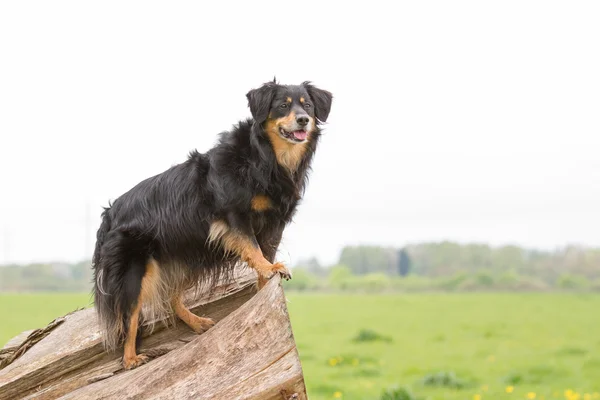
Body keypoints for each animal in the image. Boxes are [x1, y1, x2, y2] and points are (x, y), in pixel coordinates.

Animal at [91, 78, 332, 368]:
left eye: (308, 106)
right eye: (282, 106)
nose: (303, 120)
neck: (264, 157)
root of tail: (109, 215)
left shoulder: (274, 223)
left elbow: (264, 253)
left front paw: (266, 285)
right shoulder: (233, 215)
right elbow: (253, 248)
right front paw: (270, 268)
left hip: (189, 256)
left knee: (170, 297)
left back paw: (197, 323)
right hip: (135, 270)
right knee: (131, 316)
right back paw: (131, 359)